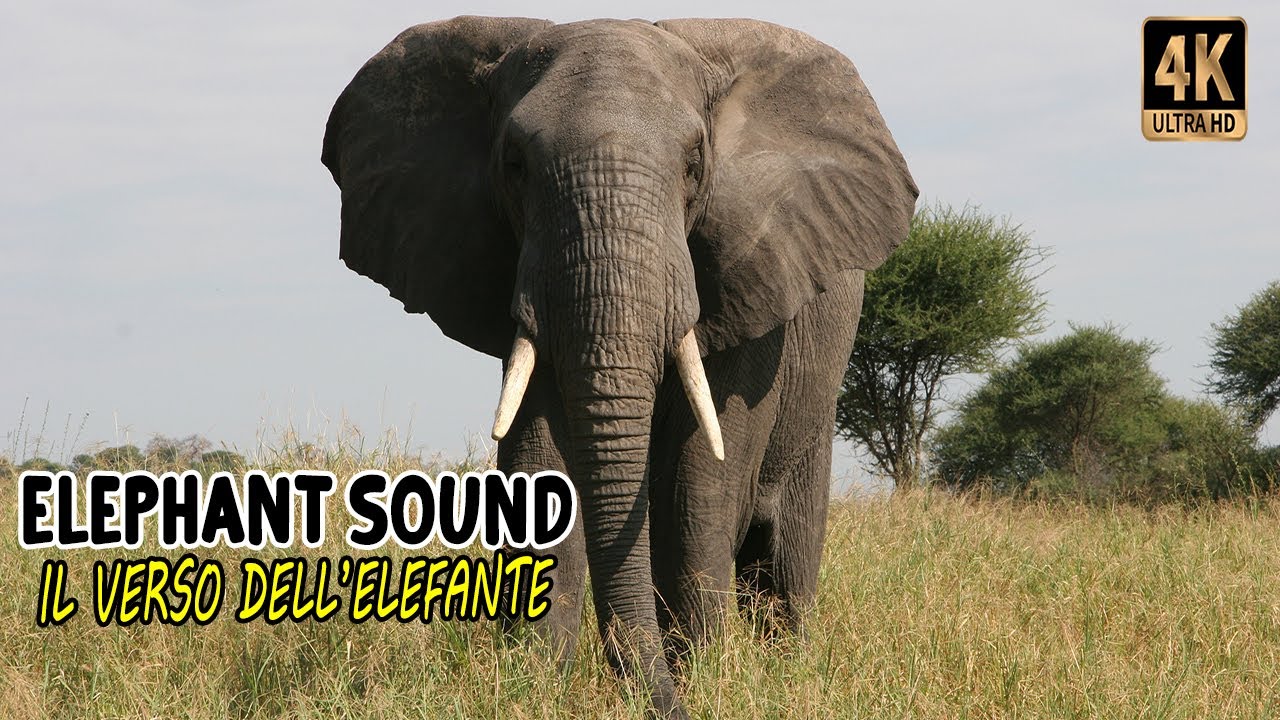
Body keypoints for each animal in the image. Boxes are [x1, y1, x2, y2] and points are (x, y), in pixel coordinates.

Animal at [322, 16, 916, 718]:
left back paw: (786, 671)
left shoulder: (751, 268)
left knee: (784, 557)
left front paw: (701, 682)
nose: (654, 697)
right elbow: (536, 454)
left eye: (694, 164)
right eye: (515, 166)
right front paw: (531, 686)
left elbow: (701, 471)